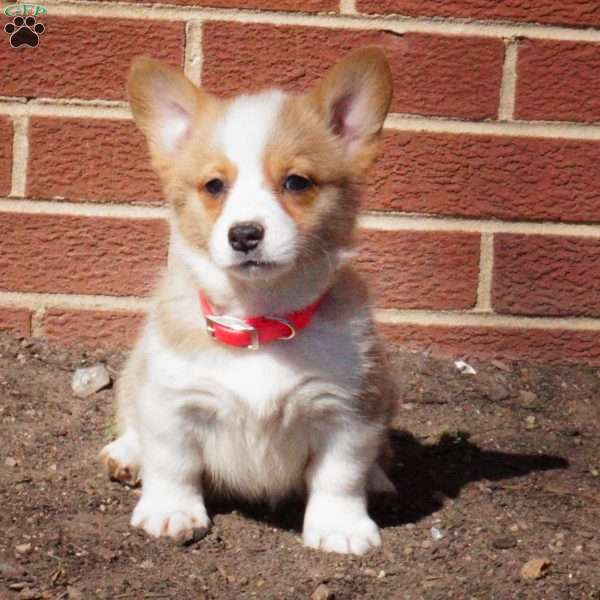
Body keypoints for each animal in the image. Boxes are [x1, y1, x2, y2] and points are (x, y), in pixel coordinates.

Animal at [100, 49, 396, 556]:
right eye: (214, 186)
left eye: (296, 182)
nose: (244, 234)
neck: (258, 322)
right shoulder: (173, 403)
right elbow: (173, 463)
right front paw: (172, 511)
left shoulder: (348, 411)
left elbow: (340, 476)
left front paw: (340, 527)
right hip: (138, 374)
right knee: (133, 422)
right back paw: (126, 454)